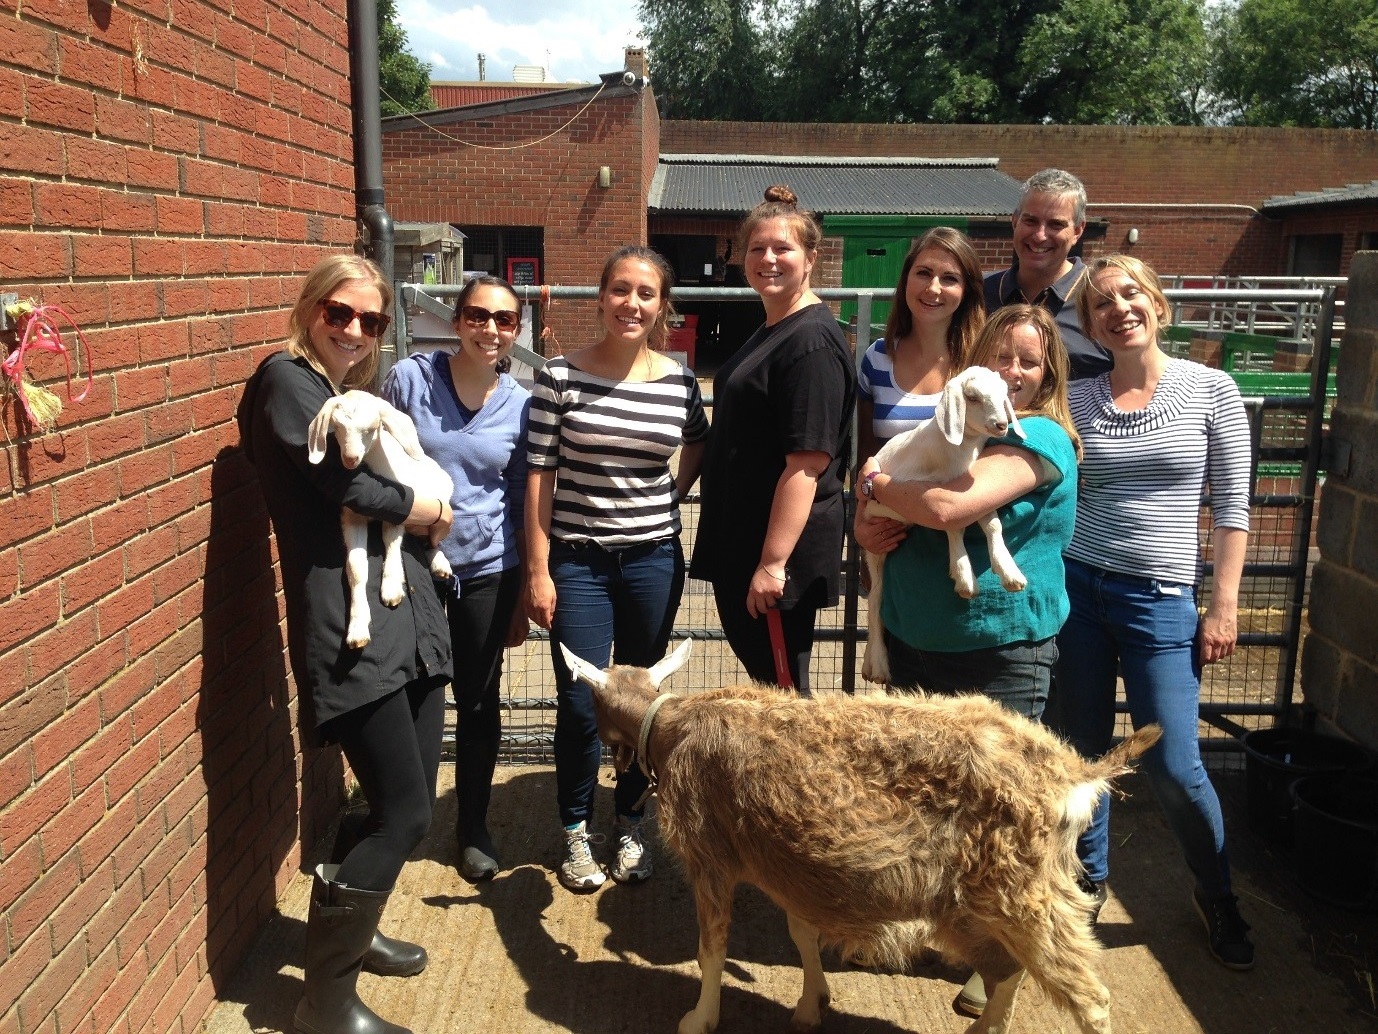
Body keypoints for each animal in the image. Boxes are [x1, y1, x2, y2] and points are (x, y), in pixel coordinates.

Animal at [307, 391, 451, 650]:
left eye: (371, 429)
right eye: (337, 427)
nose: (350, 459)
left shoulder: (399, 509)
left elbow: (391, 541)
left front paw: (392, 588)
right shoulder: (352, 517)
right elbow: (355, 567)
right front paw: (357, 629)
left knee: (432, 539)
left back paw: (440, 564)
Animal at [562, 639, 1163, 1034]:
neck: (671, 725)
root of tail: (1073, 775)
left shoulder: (710, 855)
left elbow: (712, 950)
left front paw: (698, 1019)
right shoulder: (791, 864)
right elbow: (803, 935)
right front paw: (812, 1004)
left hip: (1024, 897)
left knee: (1090, 999)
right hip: (981, 903)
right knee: (1009, 970)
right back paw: (984, 1027)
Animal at [865, 366, 1030, 689]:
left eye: (1004, 393)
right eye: (972, 397)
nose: (1001, 424)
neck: (960, 453)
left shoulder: (974, 491)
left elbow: (992, 524)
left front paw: (1008, 571)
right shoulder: (926, 489)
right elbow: (954, 526)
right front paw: (964, 576)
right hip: (874, 547)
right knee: (875, 600)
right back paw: (875, 664)